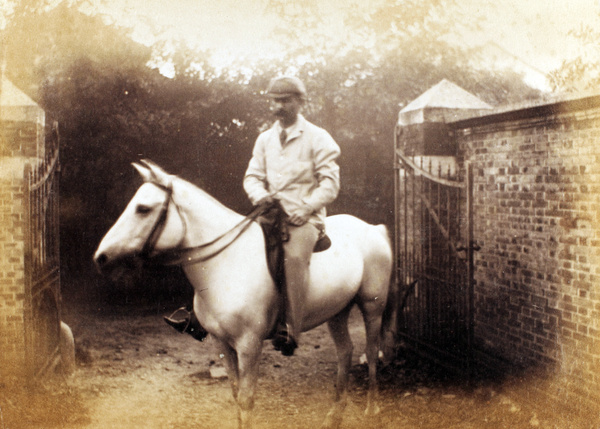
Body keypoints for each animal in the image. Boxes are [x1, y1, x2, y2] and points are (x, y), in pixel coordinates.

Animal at [92, 160, 394, 428]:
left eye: (143, 209)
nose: (101, 257)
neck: (226, 263)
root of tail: (373, 228)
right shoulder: (221, 343)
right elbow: (236, 395)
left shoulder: (249, 345)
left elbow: (247, 399)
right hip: (337, 312)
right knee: (345, 352)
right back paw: (334, 417)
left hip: (372, 307)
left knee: (370, 351)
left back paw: (373, 410)